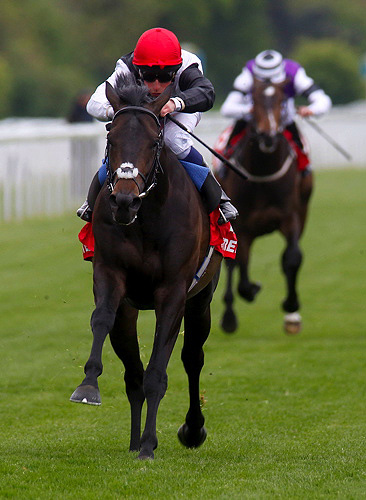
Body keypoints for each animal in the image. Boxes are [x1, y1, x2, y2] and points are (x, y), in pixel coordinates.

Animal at [70, 72, 222, 458]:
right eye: (111, 137)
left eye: (154, 142)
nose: (124, 199)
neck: (146, 219)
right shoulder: (110, 275)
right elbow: (101, 320)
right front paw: (88, 386)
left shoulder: (174, 292)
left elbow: (159, 370)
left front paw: (151, 446)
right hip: (130, 310)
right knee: (133, 373)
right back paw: (134, 438)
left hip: (201, 300)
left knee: (192, 358)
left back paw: (191, 430)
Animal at [216, 77, 314, 336]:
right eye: (255, 99)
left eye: (281, 101)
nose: (268, 136)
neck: (263, 173)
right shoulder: (242, 224)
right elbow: (238, 264)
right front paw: (248, 292)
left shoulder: (290, 217)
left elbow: (292, 257)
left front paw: (291, 307)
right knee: (233, 263)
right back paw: (229, 316)